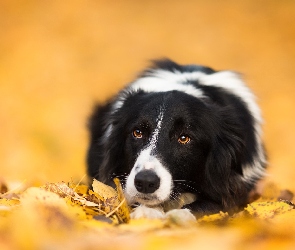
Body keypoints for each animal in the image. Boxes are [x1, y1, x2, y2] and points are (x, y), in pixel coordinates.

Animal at [86, 58, 268, 219]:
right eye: (137, 132)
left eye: (184, 138)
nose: (145, 182)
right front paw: (148, 212)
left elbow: (213, 204)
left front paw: (179, 215)